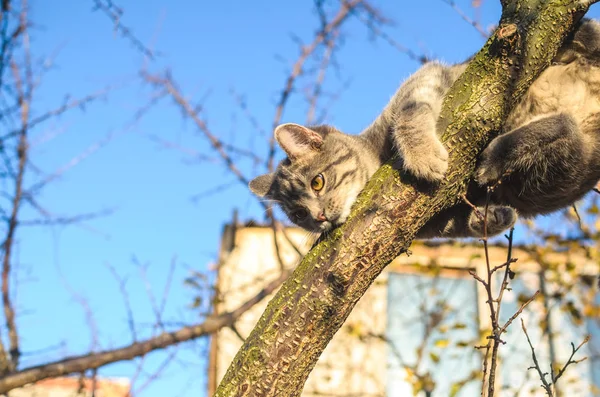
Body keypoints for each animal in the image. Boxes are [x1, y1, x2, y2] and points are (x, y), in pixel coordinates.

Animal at [251, 20, 600, 238]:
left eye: (318, 182)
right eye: (299, 215)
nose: (318, 218)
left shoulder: (433, 78)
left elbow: (410, 113)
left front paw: (422, 157)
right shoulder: (433, 225)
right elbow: (456, 226)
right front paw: (491, 218)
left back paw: (493, 157)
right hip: (559, 174)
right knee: (566, 128)